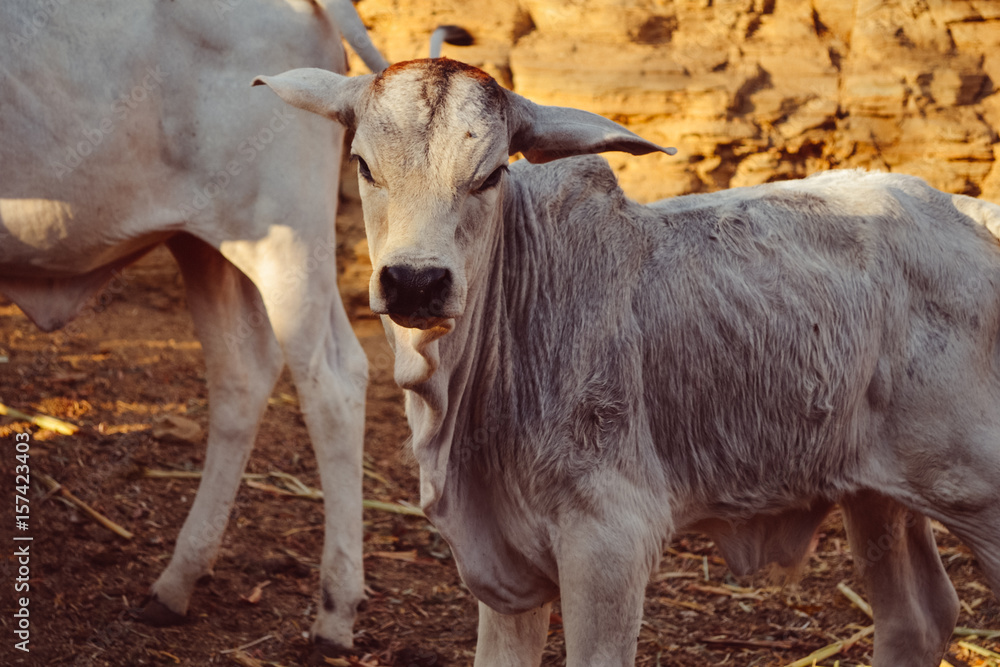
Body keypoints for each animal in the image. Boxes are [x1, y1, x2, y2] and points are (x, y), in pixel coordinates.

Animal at [0, 0, 387, 650]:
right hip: (208, 244)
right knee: (244, 377)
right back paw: (177, 582)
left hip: (287, 241)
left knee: (333, 384)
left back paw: (335, 611)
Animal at [254, 58, 1000, 666]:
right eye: (363, 164)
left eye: (491, 174)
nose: (415, 281)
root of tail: (971, 212)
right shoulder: (505, 573)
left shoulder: (609, 546)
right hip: (876, 493)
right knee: (916, 619)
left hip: (977, 495)